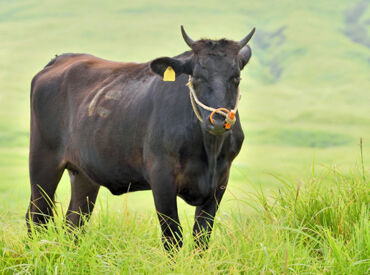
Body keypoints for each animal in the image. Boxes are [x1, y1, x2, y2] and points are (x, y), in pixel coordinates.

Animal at [26, 25, 254, 250]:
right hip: (43, 160)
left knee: (74, 222)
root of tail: (61, 59)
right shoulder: (161, 176)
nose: (219, 121)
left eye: (236, 77)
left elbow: (202, 237)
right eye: (196, 77)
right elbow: (173, 237)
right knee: (38, 215)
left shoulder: (220, 181)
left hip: (84, 173)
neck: (209, 151)